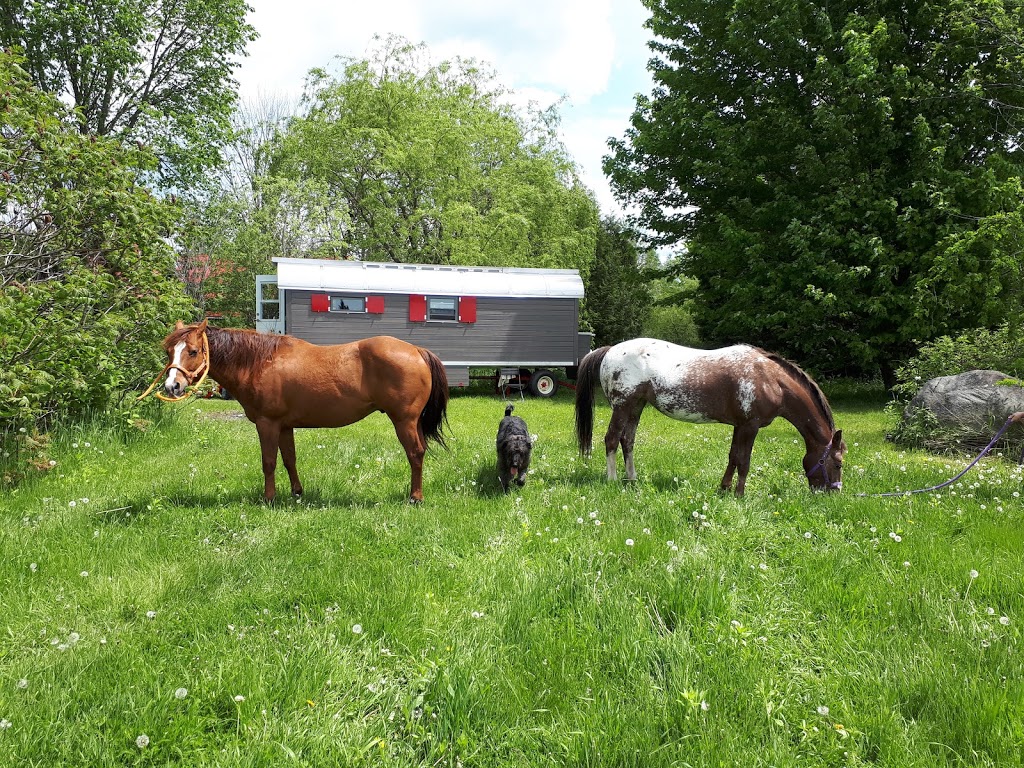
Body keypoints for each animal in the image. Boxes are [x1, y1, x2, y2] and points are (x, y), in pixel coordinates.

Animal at [160, 319, 448, 505]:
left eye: (193, 351)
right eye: (168, 352)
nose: (172, 386)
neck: (259, 362)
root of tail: (417, 351)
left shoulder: (267, 423)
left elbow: (269, 462)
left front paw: (269, 499)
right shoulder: (284, 426)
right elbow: (289, 460)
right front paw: (297, 493)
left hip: (404, 420)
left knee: (415, 453)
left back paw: (415, 497)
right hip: (413, 422)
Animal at [577, 339, 847, 495]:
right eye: (838, 463)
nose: (834, 492)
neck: (770, 380)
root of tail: (609, 350)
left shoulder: (740, 425)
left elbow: (733, 457)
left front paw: (724, 489)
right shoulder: (750, 426)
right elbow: (744, 461)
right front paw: (739, 494)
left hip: (636, 406)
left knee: (628, 441)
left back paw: (632, 479)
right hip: (622, 406)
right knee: (612, 439)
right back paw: (612, 481)